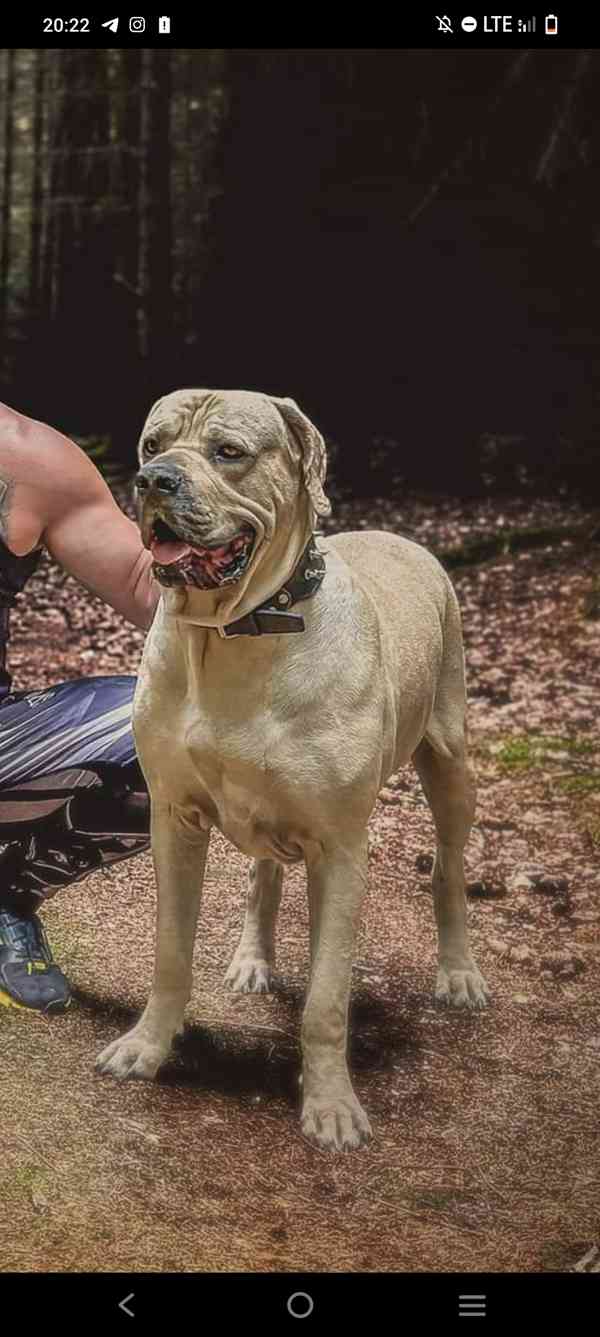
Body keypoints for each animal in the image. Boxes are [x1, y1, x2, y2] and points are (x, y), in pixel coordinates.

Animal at [93, 387, 486, 1149]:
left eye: (229, 452)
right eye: (152, 445)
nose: (153, 481)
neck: (237, 634)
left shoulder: (341, 846)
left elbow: (327, 998)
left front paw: (331, 1105)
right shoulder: (175, 818)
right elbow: (170, 952)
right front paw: (147, 1046)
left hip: (450, 759)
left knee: (448, 870)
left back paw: (458, 973)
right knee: (263, 873)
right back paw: (254, 958)